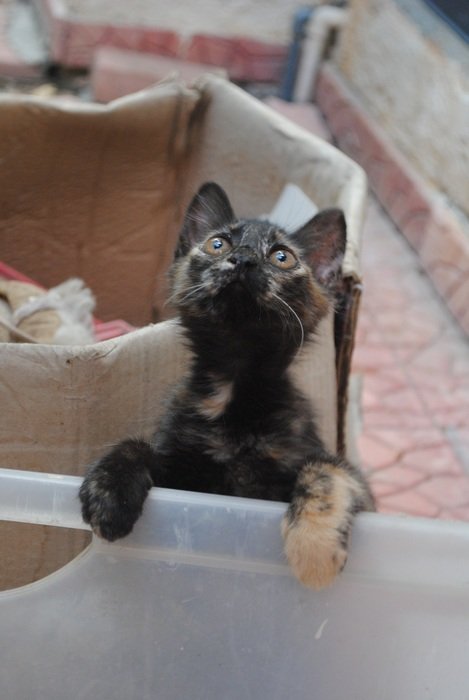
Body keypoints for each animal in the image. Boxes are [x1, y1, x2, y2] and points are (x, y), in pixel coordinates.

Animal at [79, 183, 372, 588]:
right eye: (217, 244)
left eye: (282, 256)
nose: (244, 259)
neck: (234, 383)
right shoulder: (180, 468)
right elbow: (134, 445)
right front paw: (109, 494)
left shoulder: (343, 475)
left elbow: (326, 471)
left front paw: (314, 554)